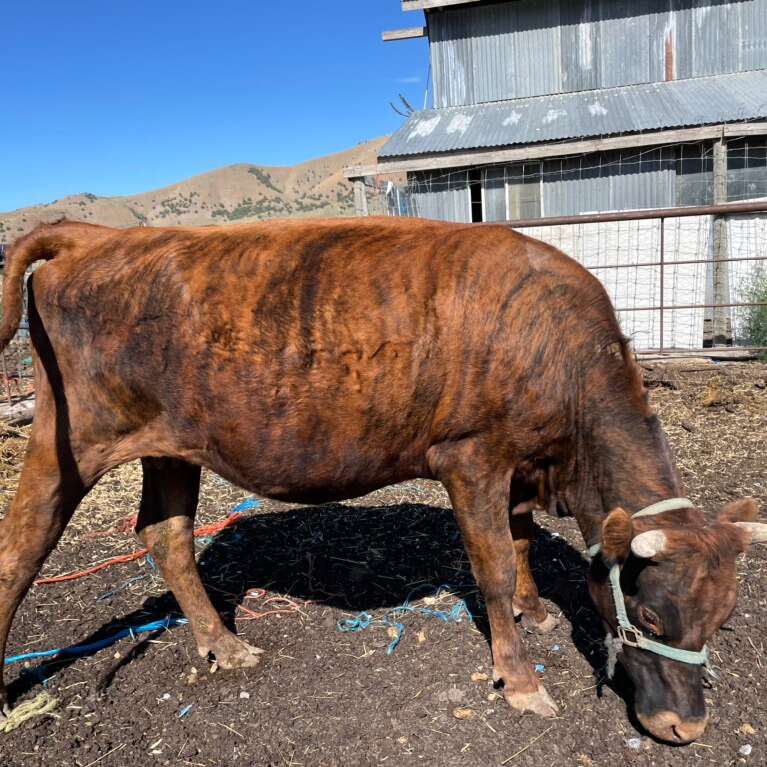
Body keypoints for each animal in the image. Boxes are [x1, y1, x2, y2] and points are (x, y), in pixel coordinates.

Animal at [0, 217, 763, 744]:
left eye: (722, 618)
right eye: (652, 616)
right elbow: (490, 564)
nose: (684, 727)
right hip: (70, 439)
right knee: (21, 547)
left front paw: (535, 608)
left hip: (171, 447)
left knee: (166, 535)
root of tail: (95, 235)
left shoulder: (520, 463)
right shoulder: (472, 456)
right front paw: (519, 679)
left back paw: (224, 645)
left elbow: (519, 539)